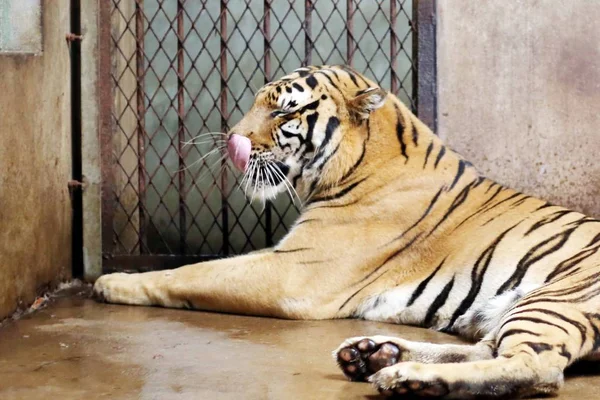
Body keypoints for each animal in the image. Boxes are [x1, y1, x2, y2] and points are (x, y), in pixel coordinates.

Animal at [92, 65, 600, 396]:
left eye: (283, 113)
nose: (233, 141)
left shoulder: (294, 273)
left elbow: (187, 273)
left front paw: (110, 282)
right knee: (493, 351)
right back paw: (374, 353)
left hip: (556, 298)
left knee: (535, 367)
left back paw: (407, 378)